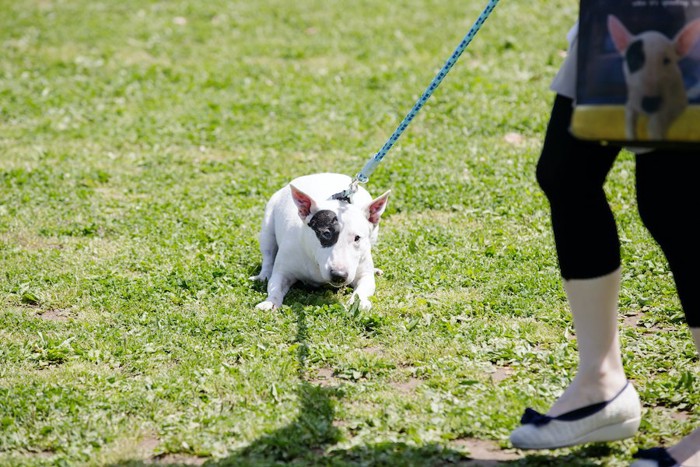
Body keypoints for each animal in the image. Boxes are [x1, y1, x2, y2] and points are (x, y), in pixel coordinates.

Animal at [250, 174, 394, 312]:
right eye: (326, 234)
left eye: (357, 238)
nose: (339, 275)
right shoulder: (283, 271)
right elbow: (275, 286)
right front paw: (270, 302)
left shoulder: (363, 274)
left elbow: (363, 288)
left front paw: (359, 303)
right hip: (267, 229)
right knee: (268, 257)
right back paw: (263, 275)